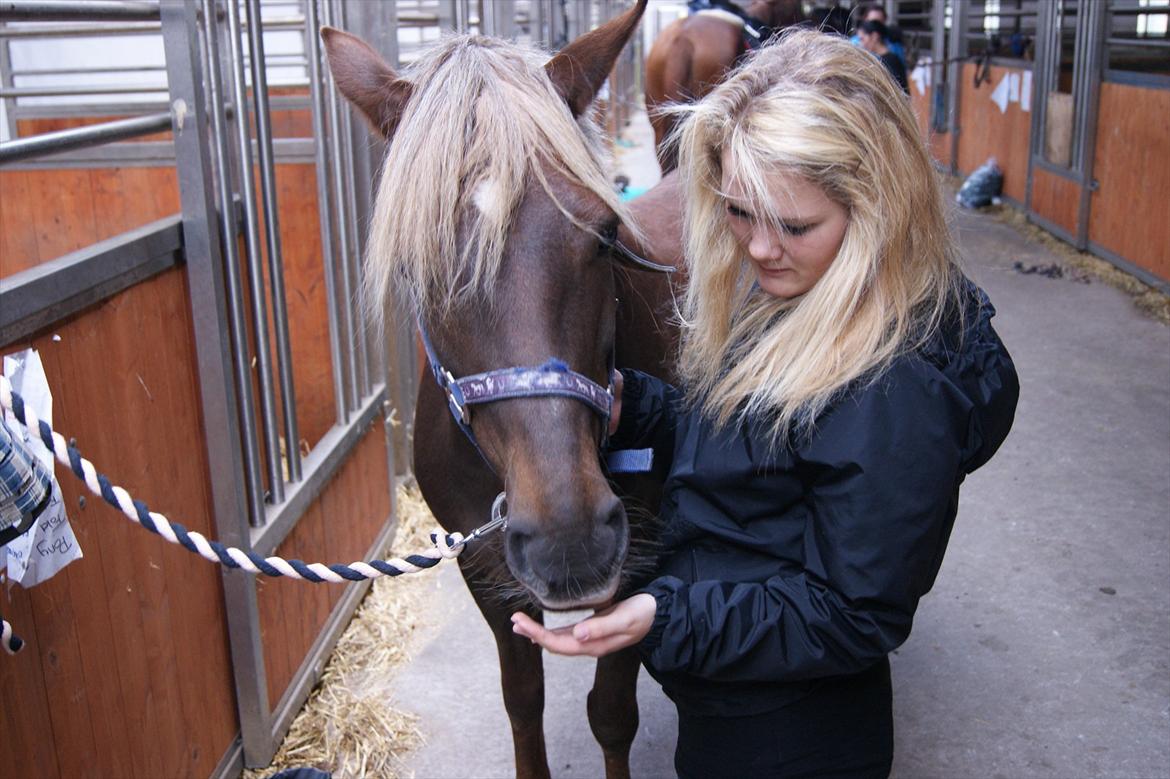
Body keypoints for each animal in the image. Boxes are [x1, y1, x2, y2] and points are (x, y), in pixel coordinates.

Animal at [322, 3, 683, 776]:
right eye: (413, 261)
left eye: (603, 234)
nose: (568, 538)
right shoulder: (485, 566)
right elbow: (524, 702)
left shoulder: (640, 559)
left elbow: (612, 712)